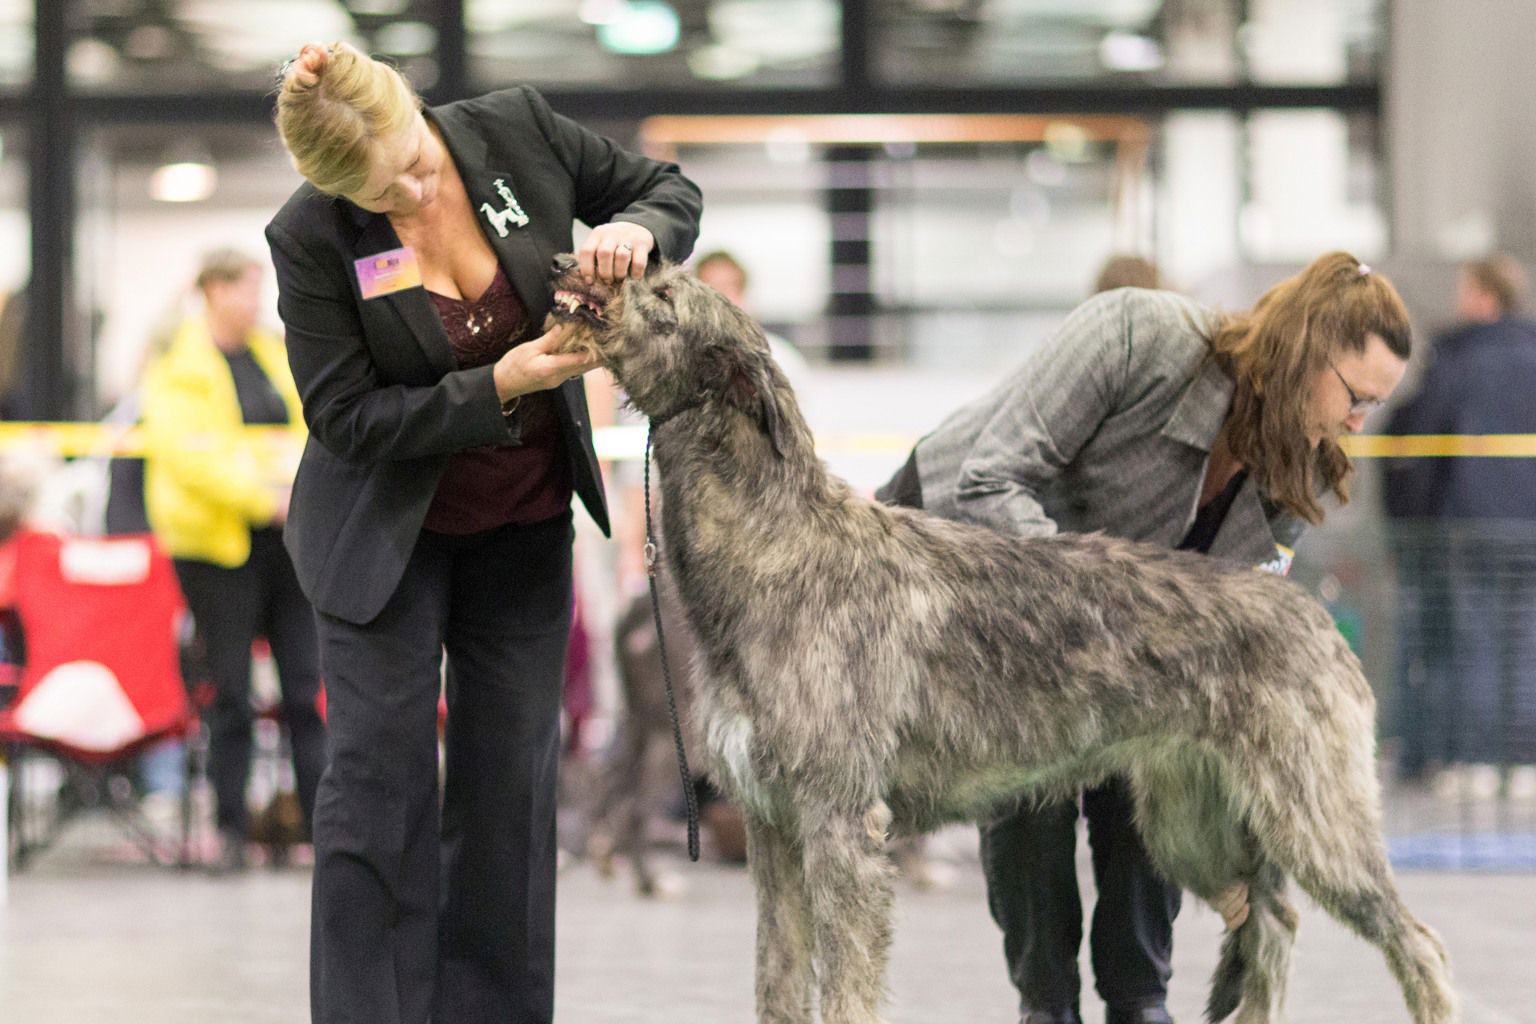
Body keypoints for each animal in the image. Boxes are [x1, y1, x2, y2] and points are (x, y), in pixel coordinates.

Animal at [549, 256, 1449, 1024]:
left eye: (665, 294)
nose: (566, 263)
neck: (778, 541)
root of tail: (1308, 610)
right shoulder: (774, 827)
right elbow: (778, 980)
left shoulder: (841, 828)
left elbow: (844, 990)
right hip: (1189, 821)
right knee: (1270, 921)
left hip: (1314, 817)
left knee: (1414, 941)